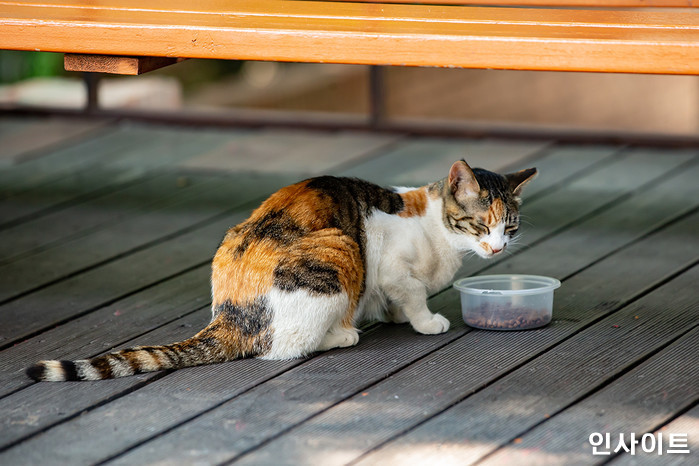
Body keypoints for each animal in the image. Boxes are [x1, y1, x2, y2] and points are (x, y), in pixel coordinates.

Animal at [26, 160, 536, 382]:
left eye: (510, 227)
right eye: (480, 225)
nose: (496, 247)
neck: (437, 230)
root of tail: (228, 313)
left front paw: (394, 316)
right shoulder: (392, 265)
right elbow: (411, 294)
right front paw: (426, 321)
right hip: (339, 249)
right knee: (281, 347)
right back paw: (341, 334)